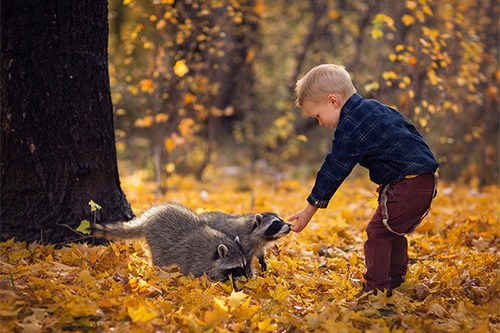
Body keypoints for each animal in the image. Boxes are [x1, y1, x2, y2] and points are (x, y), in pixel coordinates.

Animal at [92, 204, 248, 278]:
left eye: (244, 264)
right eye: (237, 267)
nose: (247, 277)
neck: (214, 248)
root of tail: (148, 218)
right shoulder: (198, 259)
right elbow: (197, 273)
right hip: (156, 240)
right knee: (160, 259)